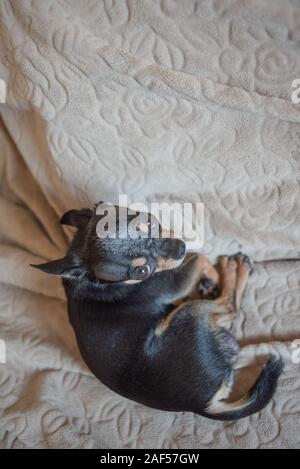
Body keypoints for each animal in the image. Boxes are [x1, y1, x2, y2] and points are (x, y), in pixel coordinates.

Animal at [31, 205, 282, 420]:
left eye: (150, 220)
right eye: (142, 271)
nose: (179, 248)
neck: (93, 282)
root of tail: (201, 406)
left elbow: (194, 258)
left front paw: (209, 278)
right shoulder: (173, 283)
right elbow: (198, 258)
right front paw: (213, 273)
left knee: (239, 354)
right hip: (188, 314)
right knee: (230, 307)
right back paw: (234, 269)